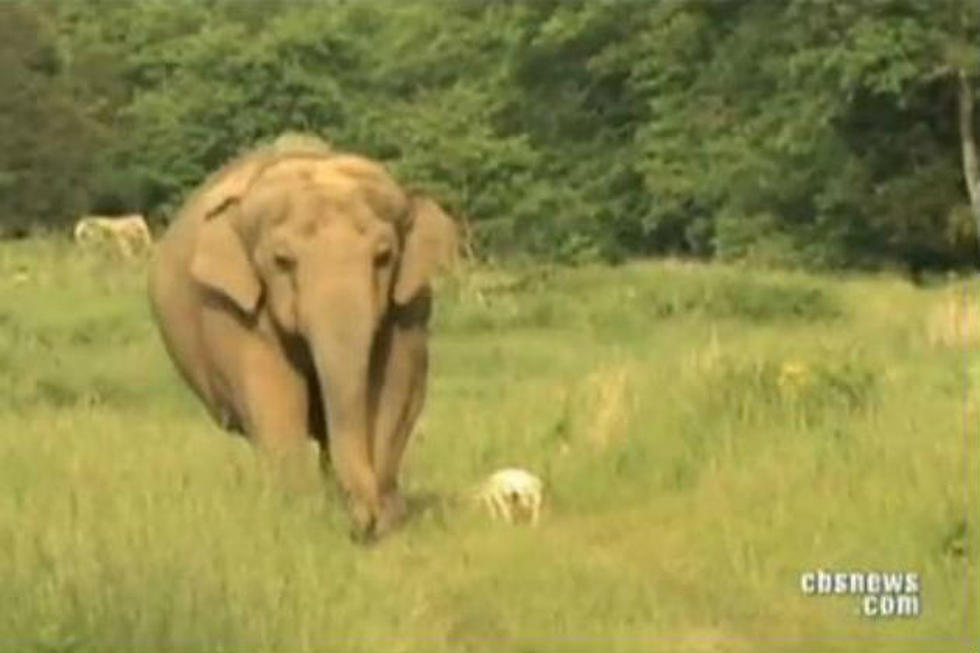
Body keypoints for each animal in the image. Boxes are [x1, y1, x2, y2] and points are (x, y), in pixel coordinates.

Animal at [146, 135, 460, 536]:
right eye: (282, 261)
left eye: (384, 257)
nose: (363, 520)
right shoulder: (234, 309)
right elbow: (273, 394)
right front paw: (299, 515)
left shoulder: (410, 303)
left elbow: (397, 385)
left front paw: (387, 520)